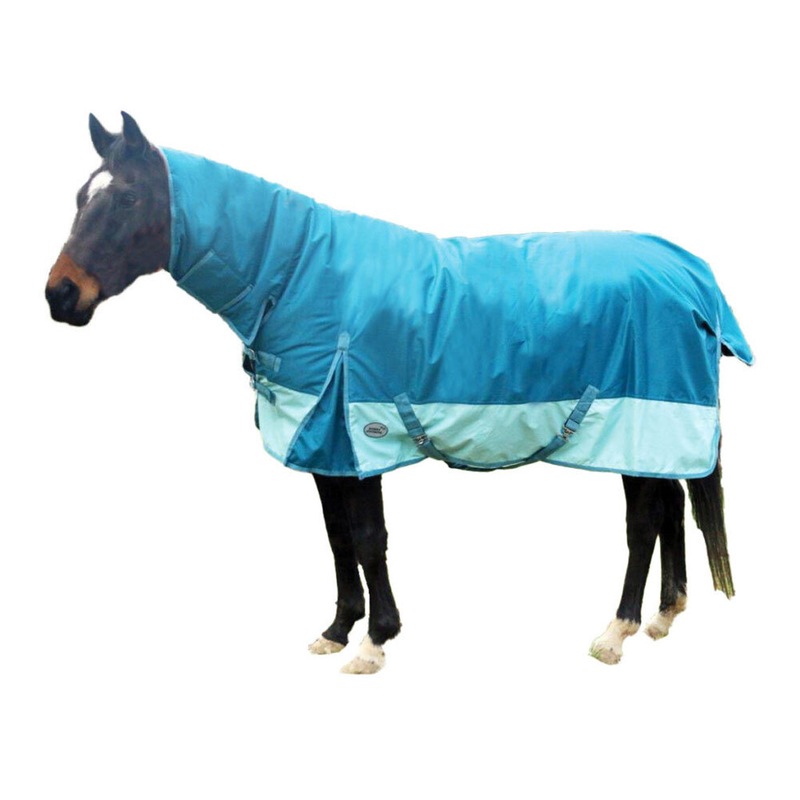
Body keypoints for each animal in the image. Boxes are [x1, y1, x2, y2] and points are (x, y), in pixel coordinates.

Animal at [46, 112, 752, 673]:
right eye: (82, 195)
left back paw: (616, 632)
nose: (60, 295)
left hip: (637, 423)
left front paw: (375, 643)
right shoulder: (326, 448)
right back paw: (663, 616)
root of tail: (687, 274)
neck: (301, 275)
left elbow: (367, 538)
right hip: (654, 434)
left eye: (127, 198)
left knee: (643, 522)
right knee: (669, 508)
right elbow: (336, 536)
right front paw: (336, 631)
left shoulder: (359, 439)